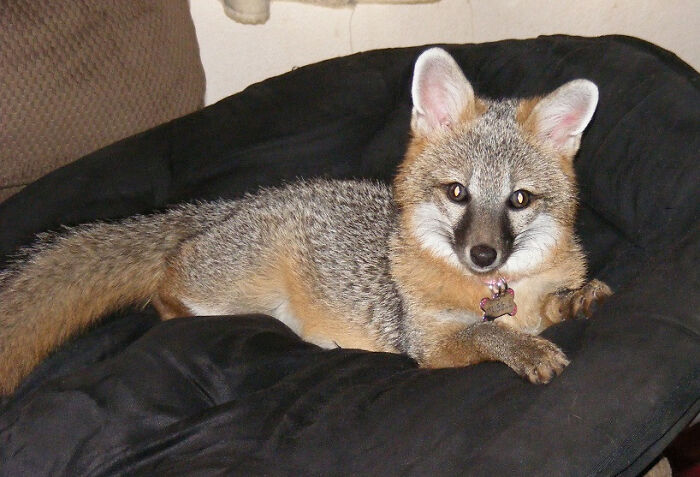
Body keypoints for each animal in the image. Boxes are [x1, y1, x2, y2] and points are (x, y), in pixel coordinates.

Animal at [0, 48, 612, 396]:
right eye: (458, 193)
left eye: (519, 200)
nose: (483, 255)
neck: (499, 291)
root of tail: (234, 206)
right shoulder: (429, 345)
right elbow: (485, 333)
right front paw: (523, 350)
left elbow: (552, 307)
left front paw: (575, 301)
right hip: (235, 294)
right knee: (164, 289)